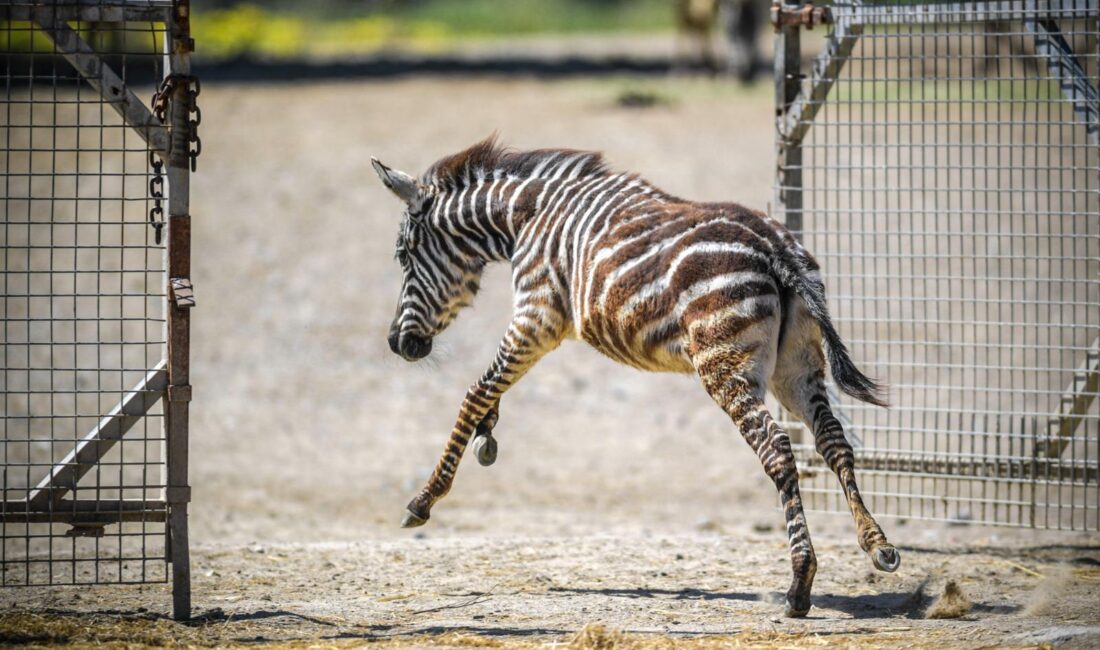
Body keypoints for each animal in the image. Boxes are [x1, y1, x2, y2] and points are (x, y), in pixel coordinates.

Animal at [371, 138, 899, 617]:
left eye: (404, 255)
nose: (398, 343)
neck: (525, 217)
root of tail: (777, 248)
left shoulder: (536, 315)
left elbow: (475, 391)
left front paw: (425, 498)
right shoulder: (536, 323)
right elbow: (491, 389)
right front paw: (488, 434)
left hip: (725, 364)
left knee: (778, 451)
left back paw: (799, 585)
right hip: (796, 367)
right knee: (834, 442)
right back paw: (876, 544)